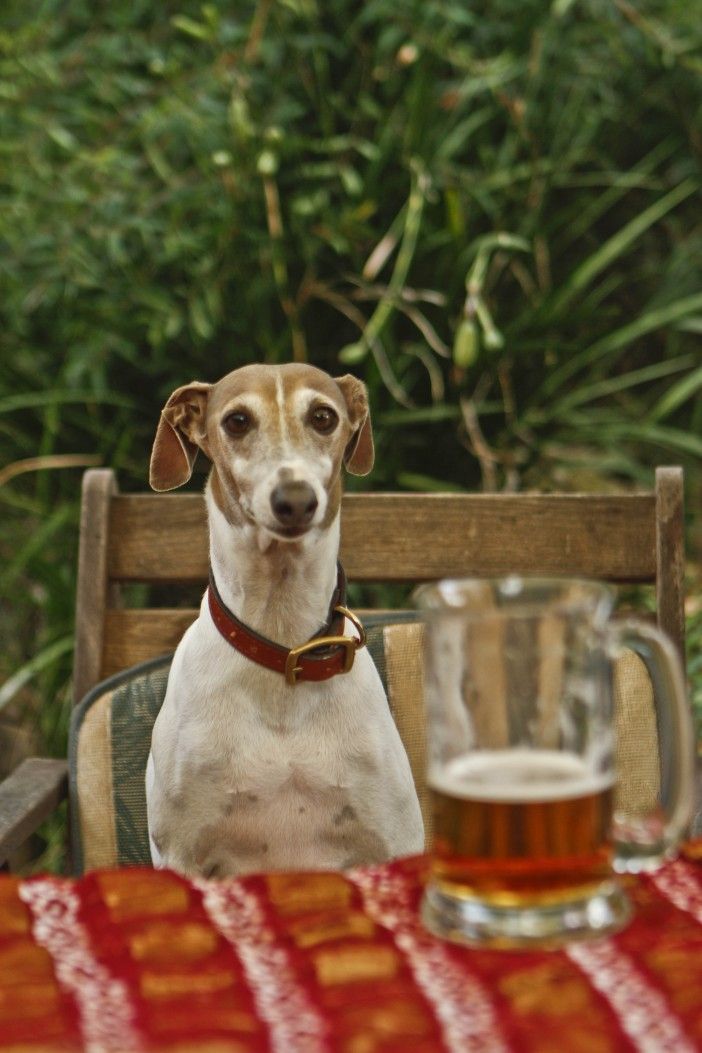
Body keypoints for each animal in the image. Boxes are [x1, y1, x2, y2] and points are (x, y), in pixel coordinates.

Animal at [145, 366, 425, 876]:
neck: (282, 645)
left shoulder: (394, 841)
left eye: (323, 416)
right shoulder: (181, 852)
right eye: (236, 420)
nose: (294, 500)